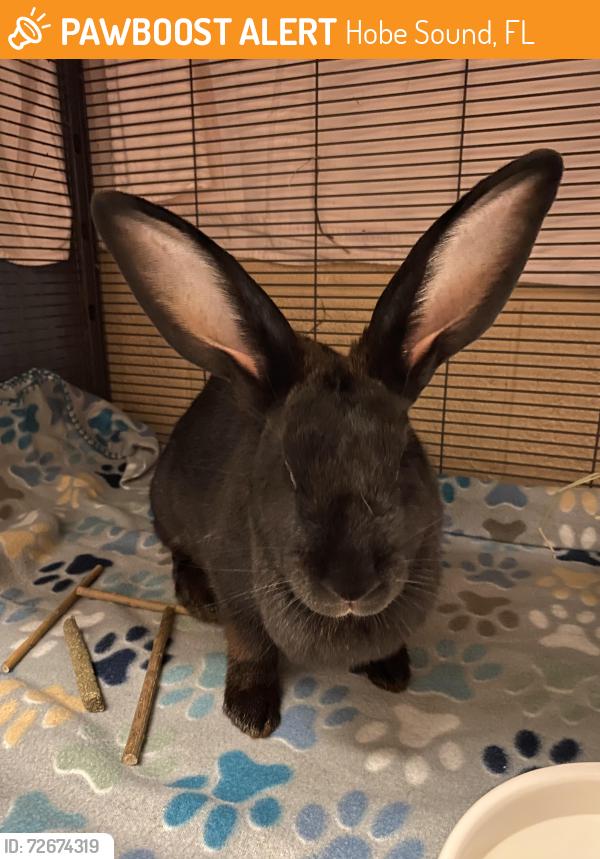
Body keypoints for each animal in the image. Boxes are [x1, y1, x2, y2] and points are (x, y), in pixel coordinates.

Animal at [92, 148, 562, 738]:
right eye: (289, 472)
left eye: (403, 458)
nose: (351, 585)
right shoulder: (240, 597)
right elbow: (250, 647)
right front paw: (250, 713)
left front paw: (392, 673)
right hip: (167, 506)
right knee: (175, 550)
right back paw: (196, 600)